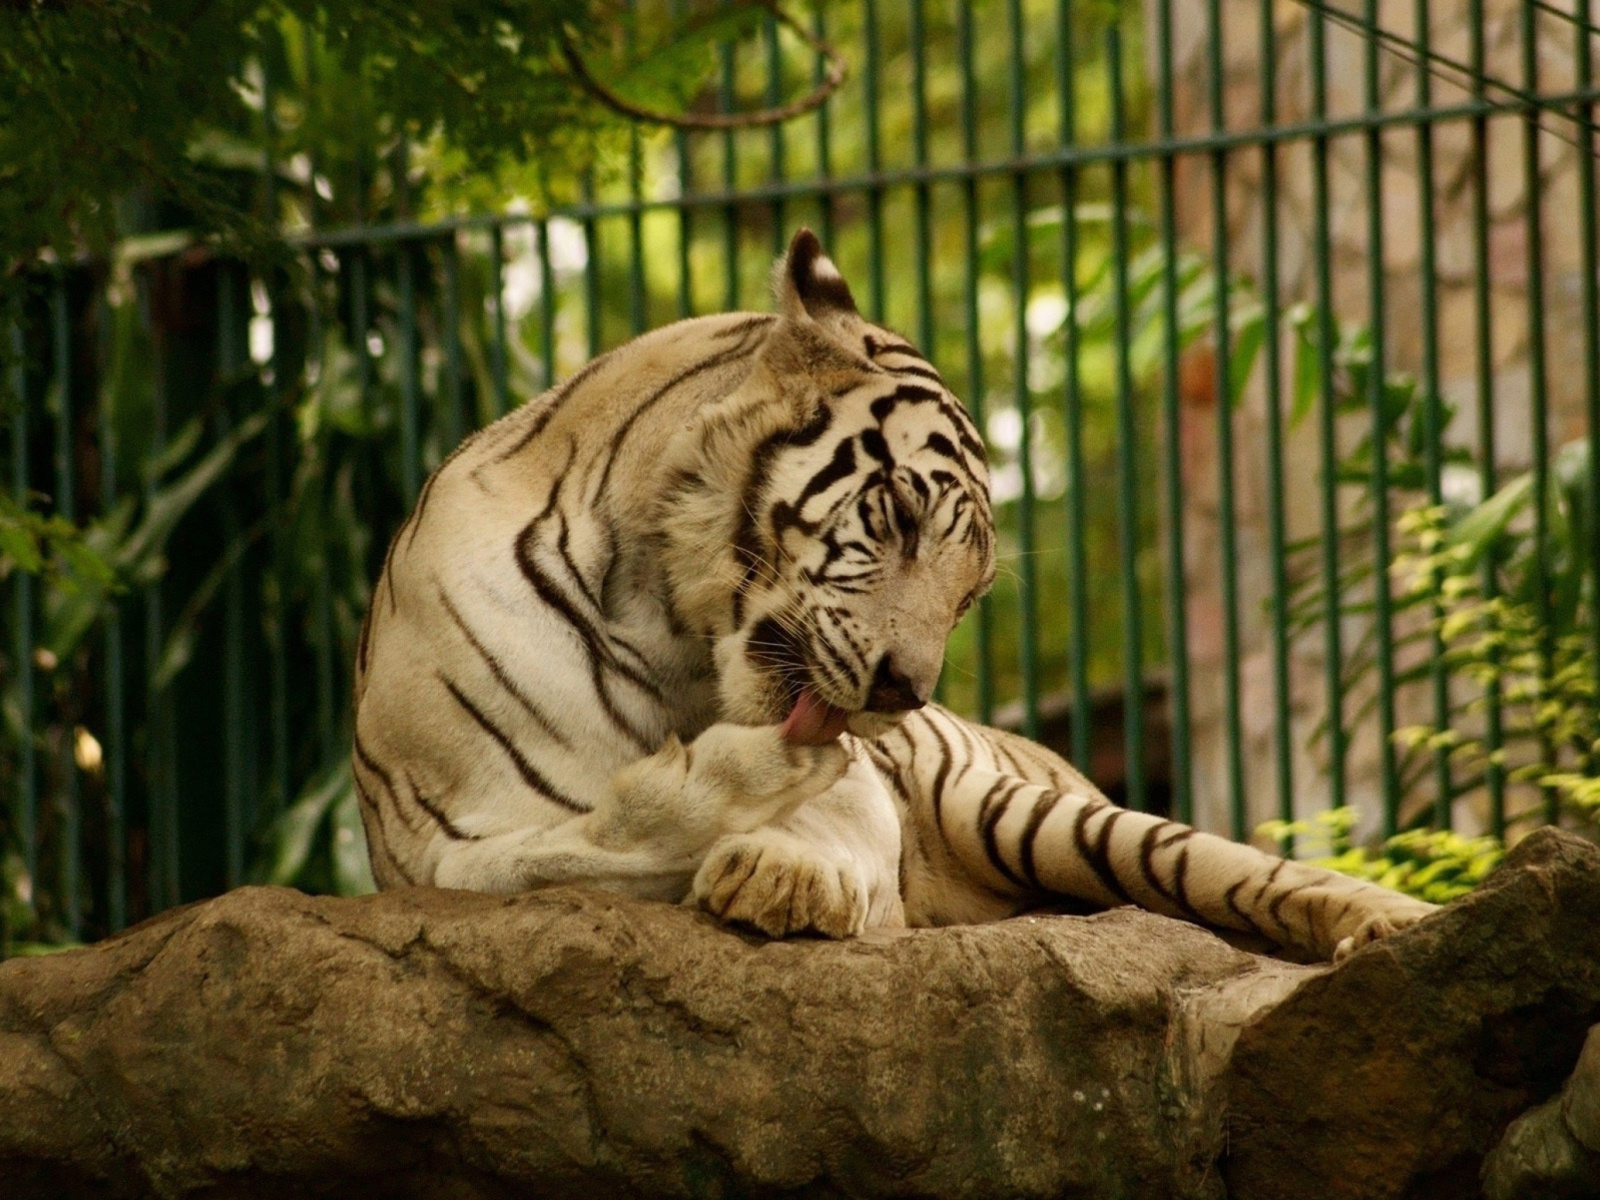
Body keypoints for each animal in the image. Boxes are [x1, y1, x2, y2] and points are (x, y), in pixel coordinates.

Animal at [353, 227, 1440, 966]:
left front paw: (780, 869)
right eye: (903, 518)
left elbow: (824, 821)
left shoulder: (867, 794)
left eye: (968, 597)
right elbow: (568, 848)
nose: (902, 694)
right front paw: (723, 795)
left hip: (1037, 813)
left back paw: (1394, 925)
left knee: (1246, 868)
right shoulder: (440, 845)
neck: (666, 628)